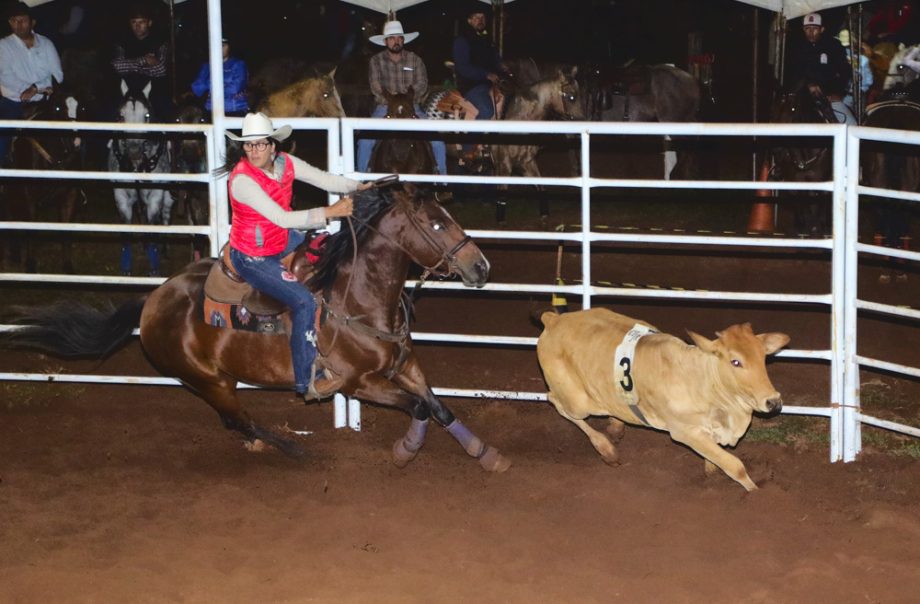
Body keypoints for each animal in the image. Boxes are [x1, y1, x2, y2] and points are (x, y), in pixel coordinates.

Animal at [5, 183, 510, 472]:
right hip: (206, 379)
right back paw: (294, 451)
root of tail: (151, 301)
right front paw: (406, 450)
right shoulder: (360, 383)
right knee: (236, 418)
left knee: (236, 421)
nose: (481, 267)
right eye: (437, 224)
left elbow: (439, 406)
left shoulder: (405, 365)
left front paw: (486, 454)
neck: (358, 301)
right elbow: (419, 409)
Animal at [540, 306, 792, 490]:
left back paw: (616, 426)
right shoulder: (684, 432)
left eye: (763, 356)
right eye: (735, 361)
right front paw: (756, 493)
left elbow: (715, 457)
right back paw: (607, 450)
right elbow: (734, 464)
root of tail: (554, 320)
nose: (773, 401)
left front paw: (711, 473)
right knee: (555, 400)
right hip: (578, 402)